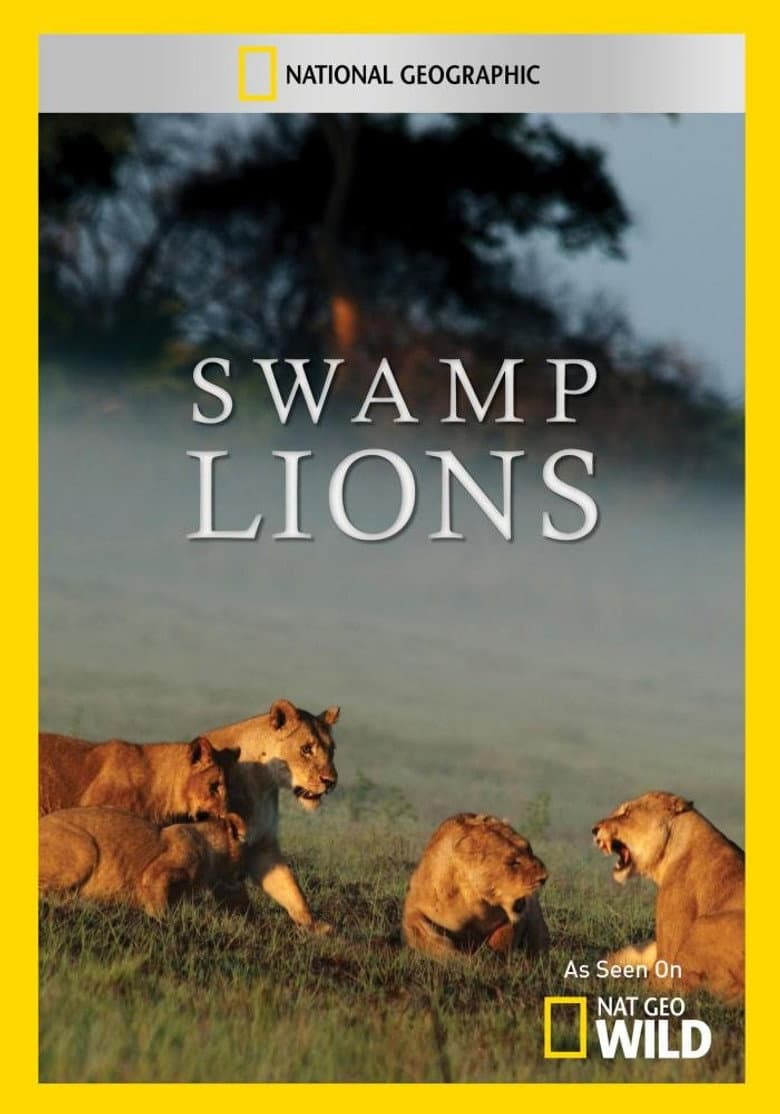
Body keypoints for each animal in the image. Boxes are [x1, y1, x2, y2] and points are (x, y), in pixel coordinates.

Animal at [402, 813, 549, 960]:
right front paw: (461, 959)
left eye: (529, 849)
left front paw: (490, 957)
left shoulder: (514, 919)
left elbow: (502, 937)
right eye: (514, 862)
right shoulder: (413, 909)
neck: (473, 898)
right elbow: (428, 938)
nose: (544, 877)